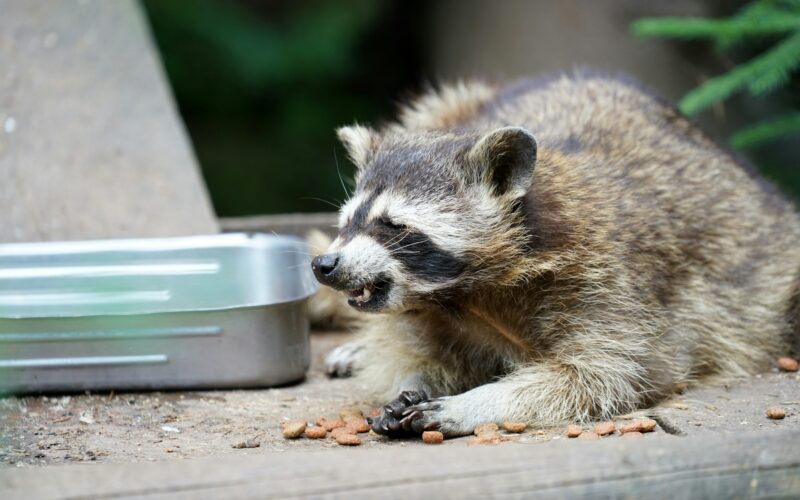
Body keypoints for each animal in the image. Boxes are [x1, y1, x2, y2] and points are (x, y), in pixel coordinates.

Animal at [311, 72, 800, 437]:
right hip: (450, 105)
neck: (462, 297)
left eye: (393, 226)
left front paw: (477, 403)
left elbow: (606, 374)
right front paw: (415, 382)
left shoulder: (614, 289)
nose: (324, 265)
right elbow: (416, 354)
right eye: (347, 223)